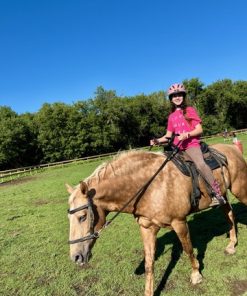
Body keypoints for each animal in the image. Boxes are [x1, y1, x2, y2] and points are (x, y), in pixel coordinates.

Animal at [66, 142, 247, 294]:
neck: (149, 187)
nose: (76, 257)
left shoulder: (179, 222)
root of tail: (232, 148)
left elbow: (188, 249)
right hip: (224, 195)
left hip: (240, 190)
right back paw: (231, 245)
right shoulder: (147, 228)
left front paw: (196, 275)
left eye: (82, 217)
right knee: (229, 213)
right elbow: (149, 264)